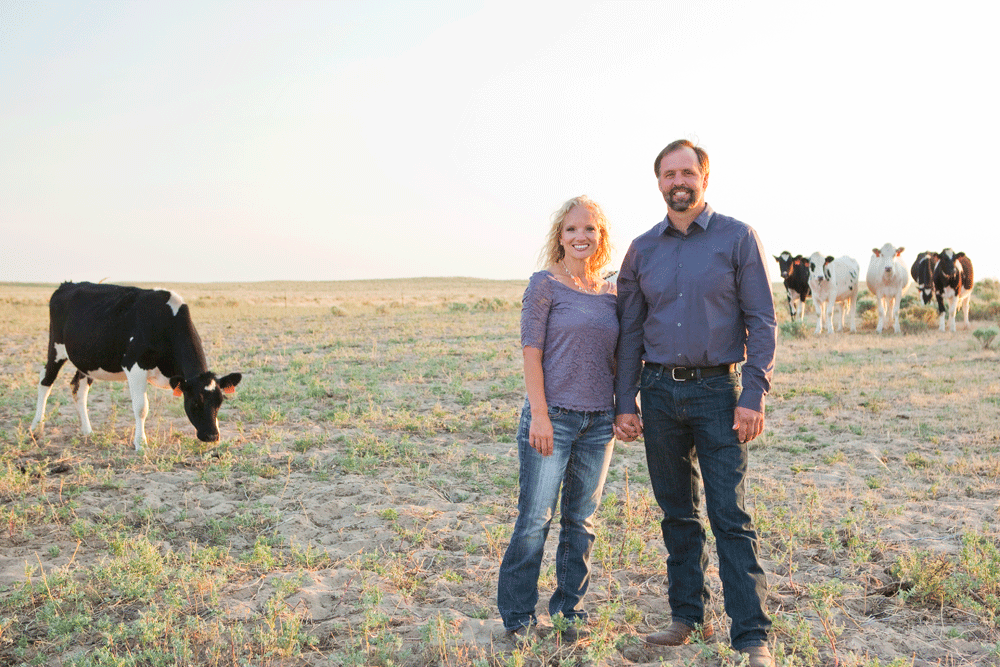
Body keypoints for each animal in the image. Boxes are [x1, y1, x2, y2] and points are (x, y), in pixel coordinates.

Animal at [29, 280, 242, 448]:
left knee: (78, 388)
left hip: (86, 361)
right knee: (45, 381)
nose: (212, 436)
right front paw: (141, 443)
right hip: (56, 348)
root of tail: (67, 284)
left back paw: (87, 431)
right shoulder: (135, 366)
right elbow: (141, 408)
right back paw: (36, 428)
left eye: (220, 402)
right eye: (195, 402)